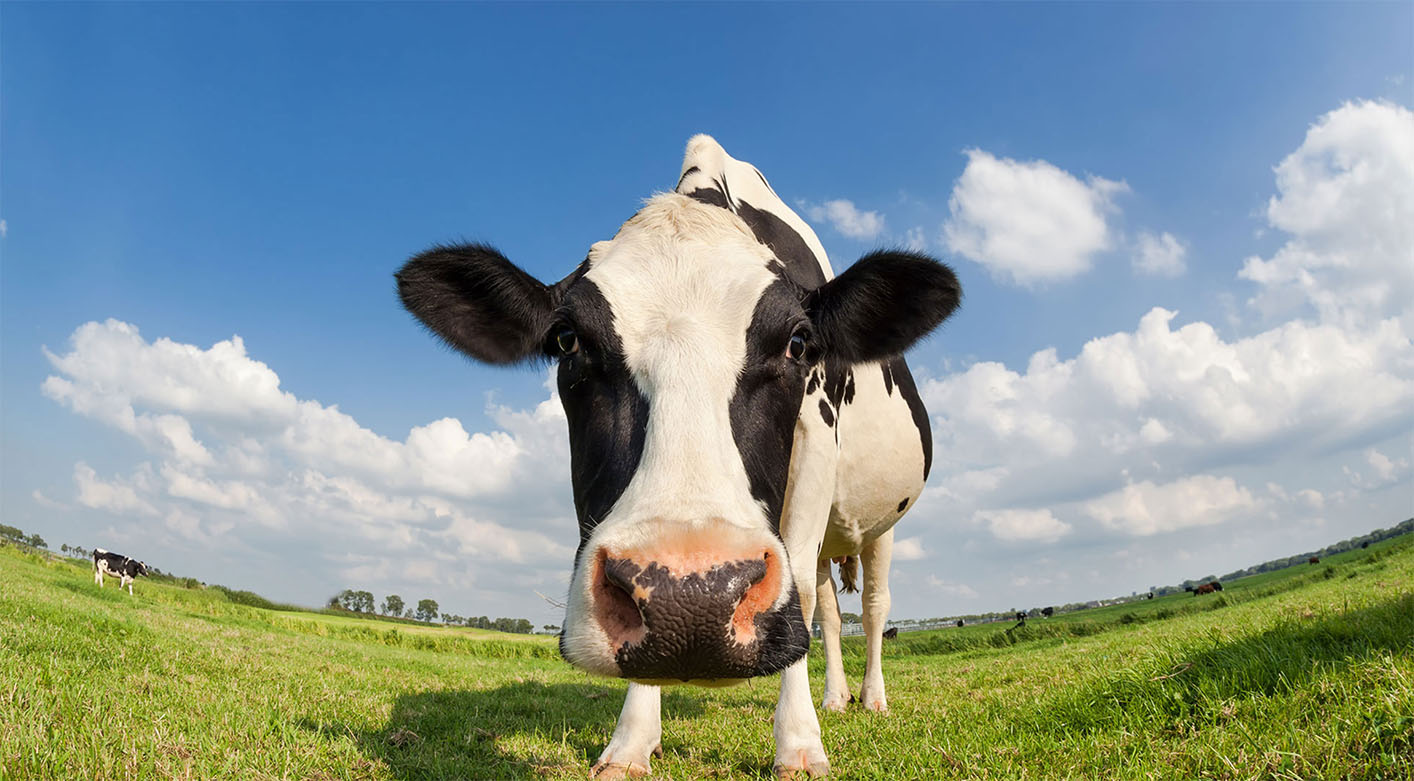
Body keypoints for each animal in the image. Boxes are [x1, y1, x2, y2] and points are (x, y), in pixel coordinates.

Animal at [396, 135, 960, 779]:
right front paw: (631, 742)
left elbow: (802, 593)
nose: (691, 601)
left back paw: (871, 698)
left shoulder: (817, 439)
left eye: (798, 343)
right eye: (567, 339)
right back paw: (836, 698)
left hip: (881, 526)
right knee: (829, 608)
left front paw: (798, 746)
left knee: (869, 604)